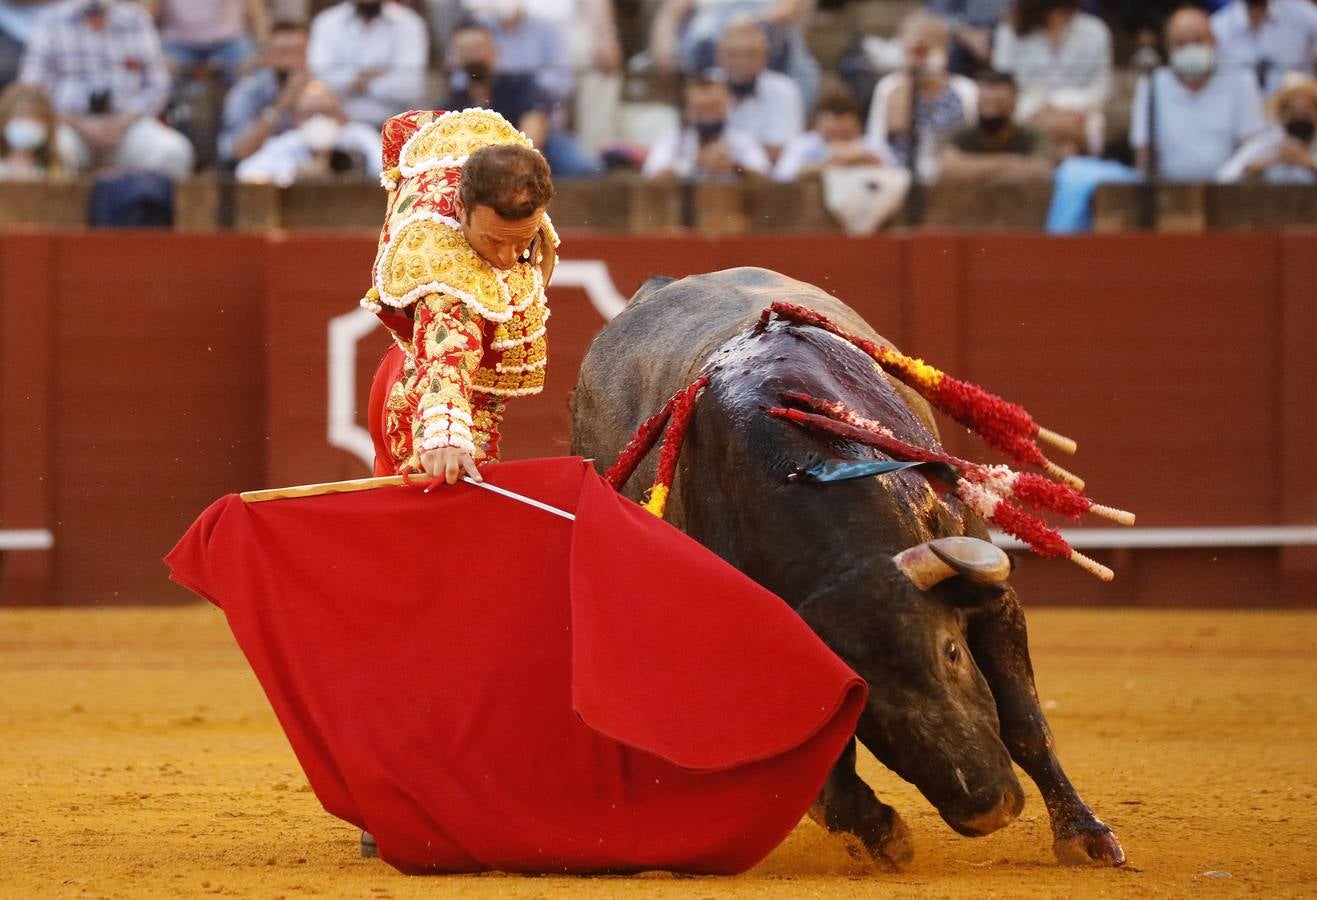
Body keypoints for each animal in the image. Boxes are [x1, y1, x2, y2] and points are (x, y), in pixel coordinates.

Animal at [571, 267, 1127, 874]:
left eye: (951, 652)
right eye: (866, 700)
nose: (987, 810)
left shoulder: (991, 594)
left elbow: (1026, 723)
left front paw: (1085, 836)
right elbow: (821, 773)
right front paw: (882, 835)